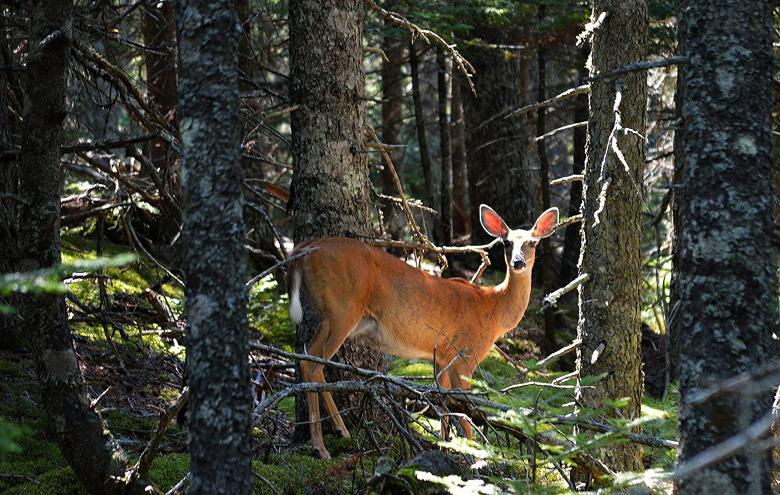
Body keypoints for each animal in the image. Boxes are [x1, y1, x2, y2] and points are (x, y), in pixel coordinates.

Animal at [287, 205, 559, 459]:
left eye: (533, 242)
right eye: (506, 242)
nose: (518, 262)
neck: (493, 308)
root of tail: (304, 249)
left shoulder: (442, 357)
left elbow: (444, 404)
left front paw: (445, 445)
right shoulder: (467, 354)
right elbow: (465, 412)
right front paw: (474, 455)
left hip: (328, 315)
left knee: (307, 358)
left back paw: (339, 431)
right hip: (342, 309)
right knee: (314, 364)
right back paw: (321, 446)